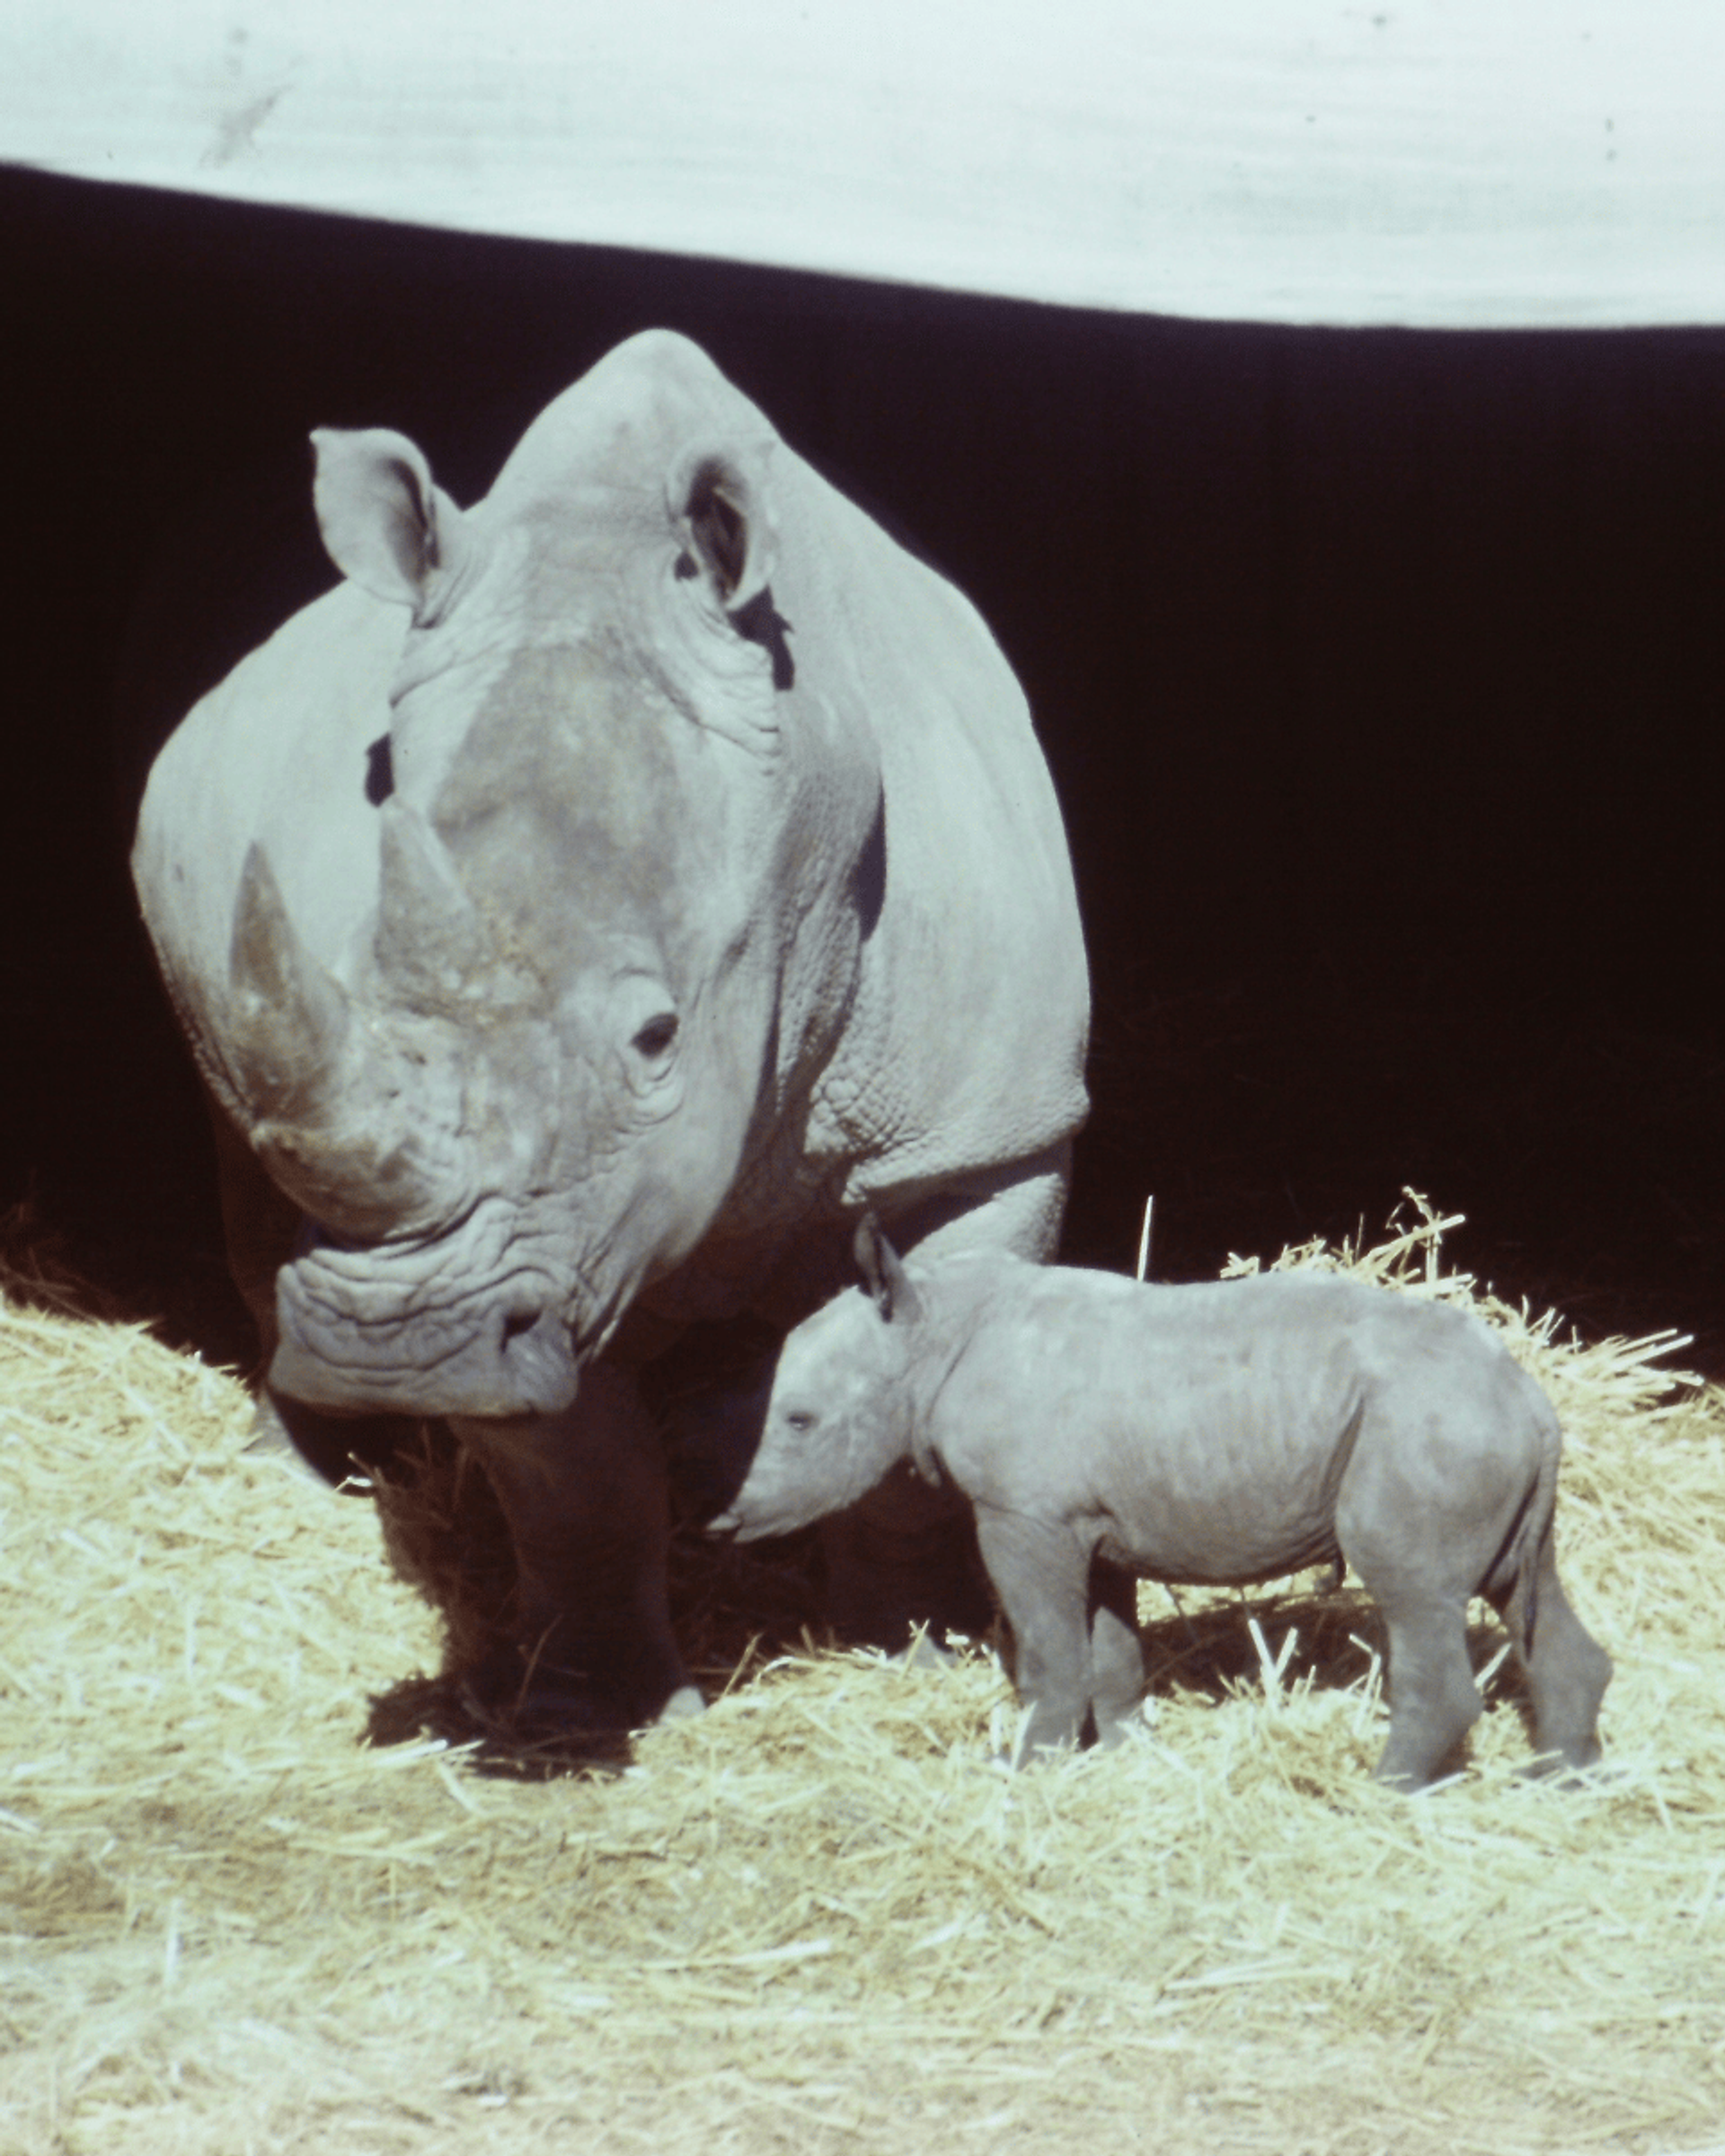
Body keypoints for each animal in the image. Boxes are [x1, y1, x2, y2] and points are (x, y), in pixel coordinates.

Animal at [132, 330, 1090, 1735]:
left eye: (656, 1037)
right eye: (358, 982)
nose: (393, 1342)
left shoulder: (988, 1135)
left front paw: (908, 1645)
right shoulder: (534, 1249)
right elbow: (574, 1474)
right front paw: (597, 1710)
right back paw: (300, 1469)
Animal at [703, 1223, 1612, 1787]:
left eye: (798, 1421)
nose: (722, 1517)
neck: (928, 1330)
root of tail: (1533, 1399)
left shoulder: (1021, 1514)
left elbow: (1049, 1651)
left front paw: (1019, 1770)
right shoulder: (1088, 1522)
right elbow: (1108, 1649)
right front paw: (1127, 1751)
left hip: (1430, 1427)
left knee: (1415, 1594)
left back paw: (1382, 1790)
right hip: (1470, 1427)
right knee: (1521, 1588)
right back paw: (1559, 1781)